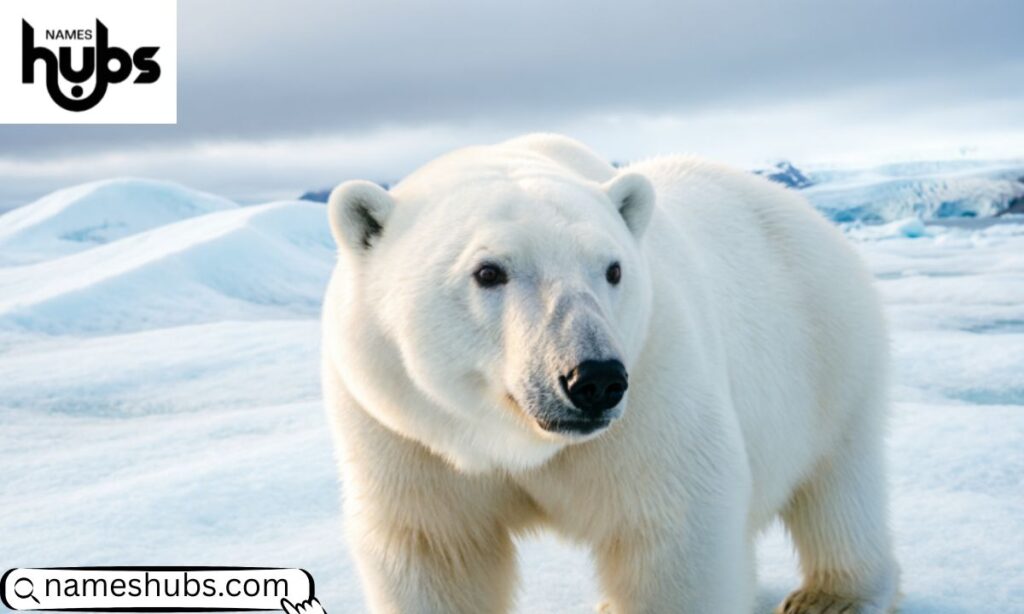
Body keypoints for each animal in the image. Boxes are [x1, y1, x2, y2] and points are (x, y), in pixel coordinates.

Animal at [321, 133, 899, 613]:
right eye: (488, 272)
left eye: (613, 269)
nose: (594, 379)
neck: (517, 442)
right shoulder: (407, 432)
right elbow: (436, 549)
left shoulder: (654, 392)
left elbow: (675, 532)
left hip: (828, 346)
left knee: (839, 481)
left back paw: (832, 596)